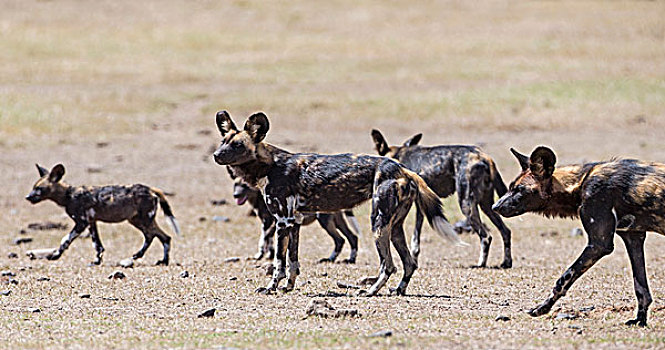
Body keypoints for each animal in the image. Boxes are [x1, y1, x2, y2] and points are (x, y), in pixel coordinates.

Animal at [25, 164, 178, 266]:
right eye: (33, 187)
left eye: (39, 189)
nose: (28, 197)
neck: (68, 195)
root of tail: (150, 189)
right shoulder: (91, 222)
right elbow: (97, 245)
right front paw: (96, 261)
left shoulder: (81, 223)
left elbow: (65, 240)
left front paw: (55, 255)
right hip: (138, 220)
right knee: (164, 237)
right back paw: (163, 261)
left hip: (143, 220)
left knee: (151, 236)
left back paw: (136, 256)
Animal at [226, 167, 360, 262]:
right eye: (236, 185)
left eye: (245, 186)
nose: (236, 195)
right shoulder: (266, 222)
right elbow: (268, 239)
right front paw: (268, 255)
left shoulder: (274, 222)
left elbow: (264, 238)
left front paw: (260, 255)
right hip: (336, 221)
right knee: (350, 237)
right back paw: (346, 259)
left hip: (325, 221)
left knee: (340, 239)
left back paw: (335, 259)